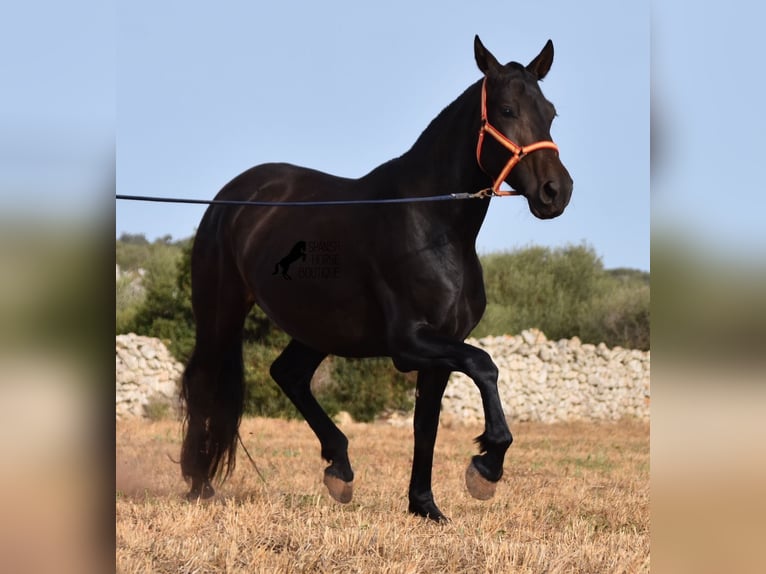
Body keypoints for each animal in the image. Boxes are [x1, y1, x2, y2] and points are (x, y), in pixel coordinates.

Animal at [183, 36, 572, 520]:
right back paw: (199, 484)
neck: (432, 224)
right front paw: (486, 468)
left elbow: (427, 424)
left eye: (550, 112)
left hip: (319, 327)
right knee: (205, 381)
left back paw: (339, 468)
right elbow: (485, 365)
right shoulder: (410, 342)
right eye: (506, 110)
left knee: (288, 373)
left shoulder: (442, 347)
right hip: (221, 310)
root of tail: (232, 198)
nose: (556, 192)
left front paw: (425, 505)